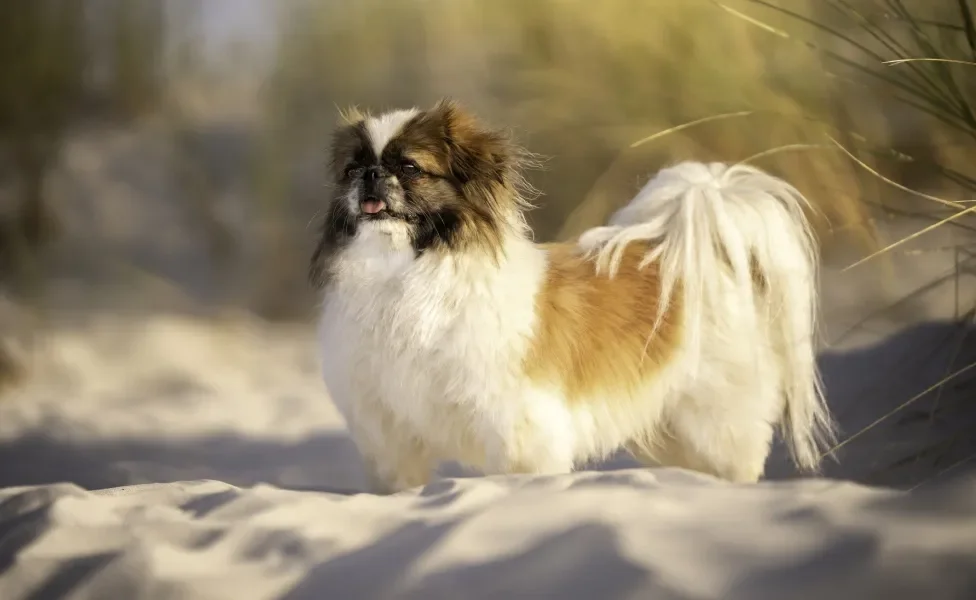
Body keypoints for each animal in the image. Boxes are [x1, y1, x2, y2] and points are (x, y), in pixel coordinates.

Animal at [308, 99, 836, 492]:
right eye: (353, 169)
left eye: (410, 168)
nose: (371, 175)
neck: (403, 273)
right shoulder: (389, 435)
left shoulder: (517, 428)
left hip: (715, 419)